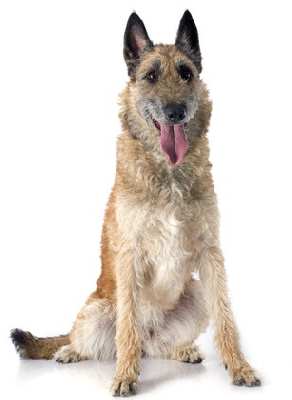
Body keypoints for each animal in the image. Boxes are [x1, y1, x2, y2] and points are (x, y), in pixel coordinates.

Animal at [10, 10, 262, 396]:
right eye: (151, 76)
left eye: (186, 73)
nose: (175, 112)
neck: (168, 174)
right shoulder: (130, 258)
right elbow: (126, 328)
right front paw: (125, 375)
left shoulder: (210, 255)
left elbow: (226, 321)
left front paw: (239, 367)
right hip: (98, 310)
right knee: (98, 338)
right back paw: (70, 350)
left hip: (196, 293)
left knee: (155, 345)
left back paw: (181, 349)